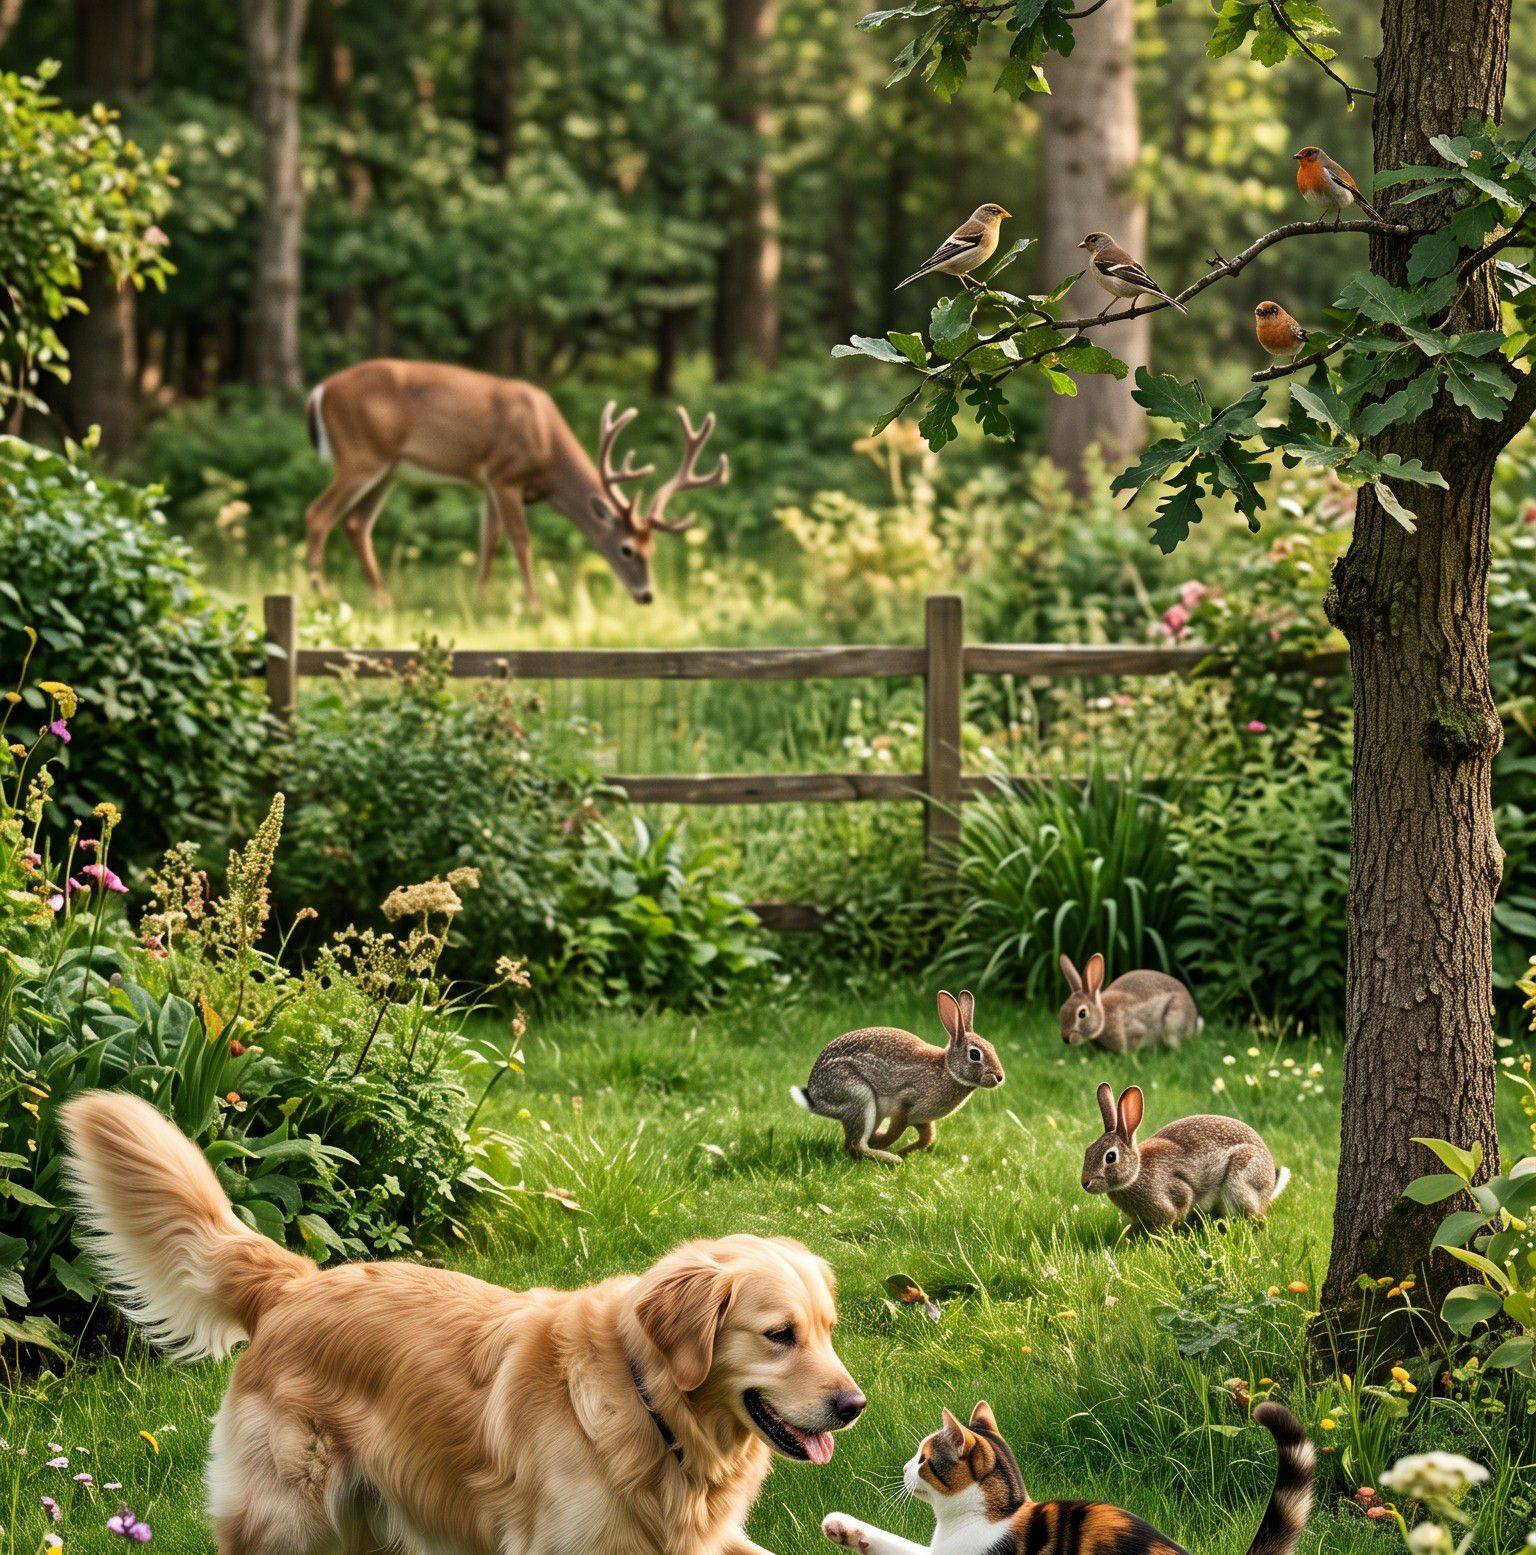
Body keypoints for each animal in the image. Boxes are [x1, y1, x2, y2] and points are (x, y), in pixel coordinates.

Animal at [302, 359, 728, 611]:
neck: (548, 453)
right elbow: (520, 540)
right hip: (360, 455)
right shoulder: (505, 474)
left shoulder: (489, 481)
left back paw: (384, 600)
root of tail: (320, 390)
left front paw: (480, 603)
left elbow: (488, 540)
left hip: (389, 469)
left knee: (356, 524)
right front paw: (534, 607)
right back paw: (322, 595)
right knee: (318, 514)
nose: (646, 596)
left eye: (652, 548)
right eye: (626, 549)